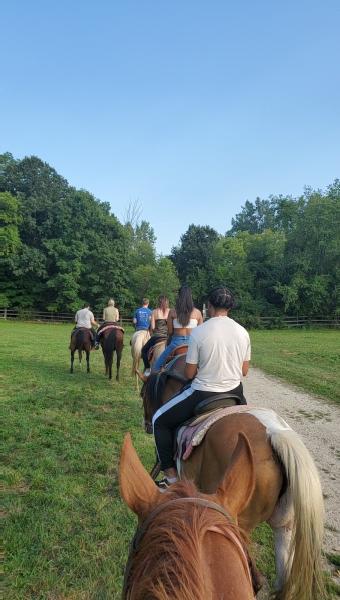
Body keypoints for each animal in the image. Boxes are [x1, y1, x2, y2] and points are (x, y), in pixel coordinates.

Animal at [140, 356, 324, 600]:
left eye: (142, 393)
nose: (147, 425)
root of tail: (274, 433)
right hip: (284, 525)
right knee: (283, 579)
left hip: (239, 524)